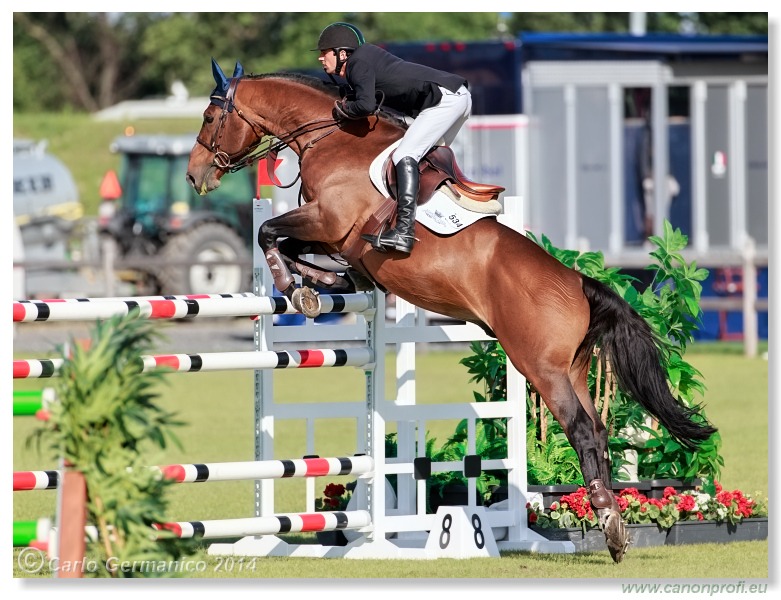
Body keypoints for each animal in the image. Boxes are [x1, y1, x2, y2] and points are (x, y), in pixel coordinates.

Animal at [186, 58, 716, 560]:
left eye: (211, 116)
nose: (196, 175)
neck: (331, 138)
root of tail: (578, 282)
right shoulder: (330, 234)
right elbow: (297, 248)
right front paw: (324, 284)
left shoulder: (326, 221)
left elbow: (268, 232)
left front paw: (295, 287)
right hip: (573, 368)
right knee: (600, 431)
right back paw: (614, 525)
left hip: (540, 367)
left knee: (583, 430)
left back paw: (608, 524)